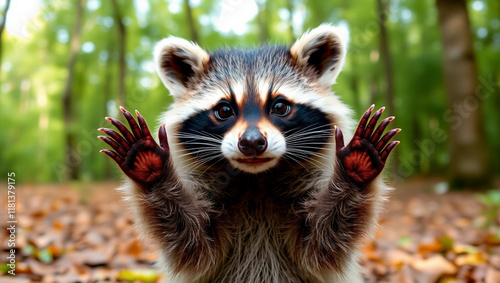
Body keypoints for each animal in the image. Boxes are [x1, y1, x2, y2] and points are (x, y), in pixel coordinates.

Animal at [99, 25, 400, 283]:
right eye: (224, 110)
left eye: (280, 106)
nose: (253, 143)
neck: (256, 179)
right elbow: (190, 243)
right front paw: (153, 172)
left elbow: (324, 243)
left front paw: (354, 171)